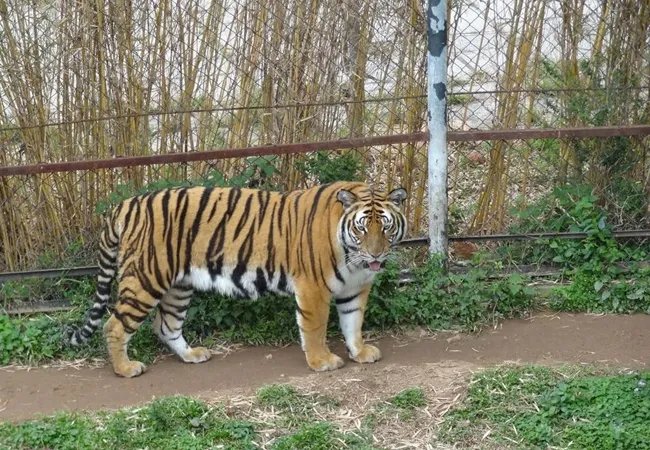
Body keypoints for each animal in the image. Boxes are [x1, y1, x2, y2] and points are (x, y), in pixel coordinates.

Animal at [68, 181, 408, 378]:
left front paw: (360, 353)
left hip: (179, 286)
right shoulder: (313, 288)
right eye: (362, 227)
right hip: (145, 280)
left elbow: (353, 323)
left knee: (166, 326)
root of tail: (125, 205)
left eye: (386, 227)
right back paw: (126, 369)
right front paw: (321, 361)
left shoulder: (355, 288)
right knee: (115, 325)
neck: (354, 260)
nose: (376, 255)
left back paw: (192, 355)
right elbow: (315, 329)